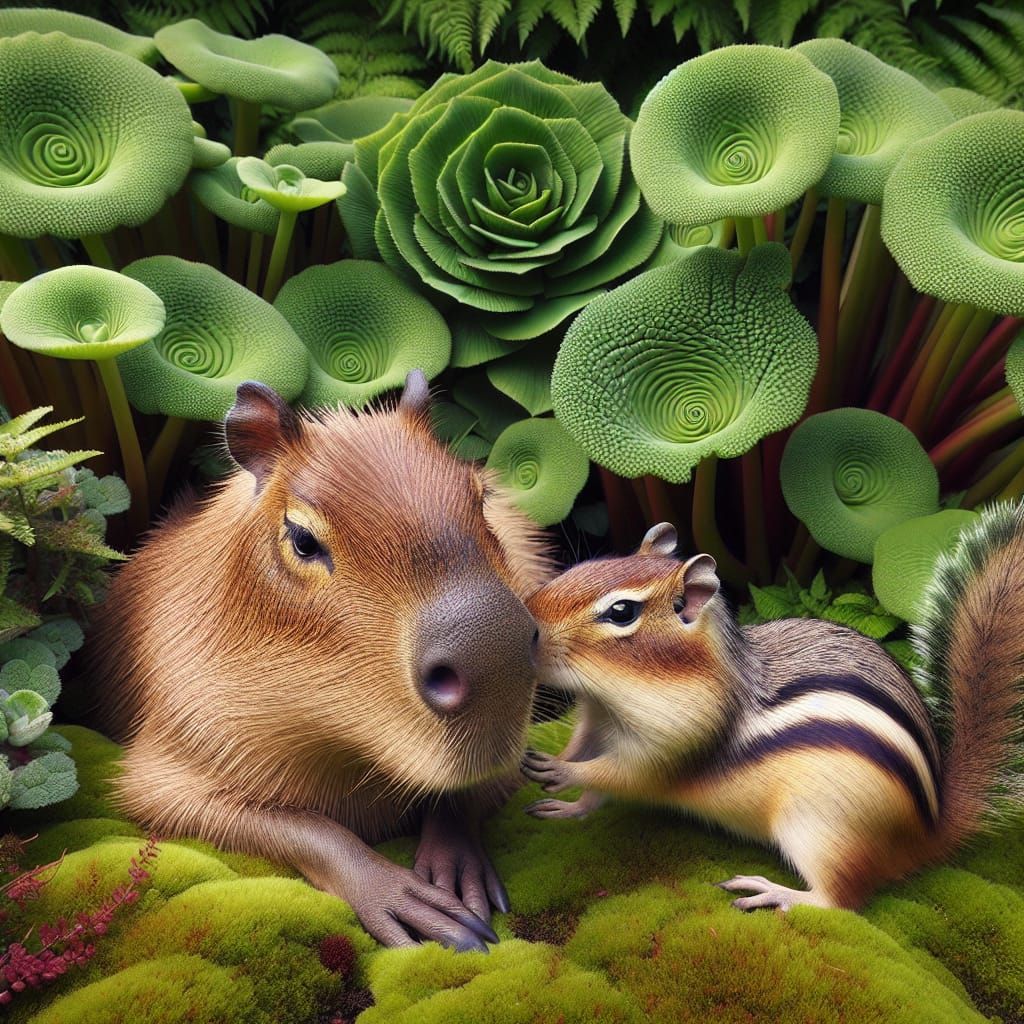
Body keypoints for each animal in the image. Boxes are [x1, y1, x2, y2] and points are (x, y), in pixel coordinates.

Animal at [87, 372, 554, 950]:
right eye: (302, 538)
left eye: (482, 497)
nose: (499, 659)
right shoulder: (173, 755)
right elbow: (298, 827)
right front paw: (406, 901)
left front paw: (456, 871)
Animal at [521, 509, 1024, 911]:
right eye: (584, 566)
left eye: (622, 612)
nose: (526, 625)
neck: (618, 698)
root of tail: (929, 831)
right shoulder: (596, 719)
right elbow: (585, 755)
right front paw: (560, 776)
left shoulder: (675, 745)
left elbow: (620, 774)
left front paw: (564, 771)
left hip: (822, 829)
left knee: (840, 902)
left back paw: (775, 892)